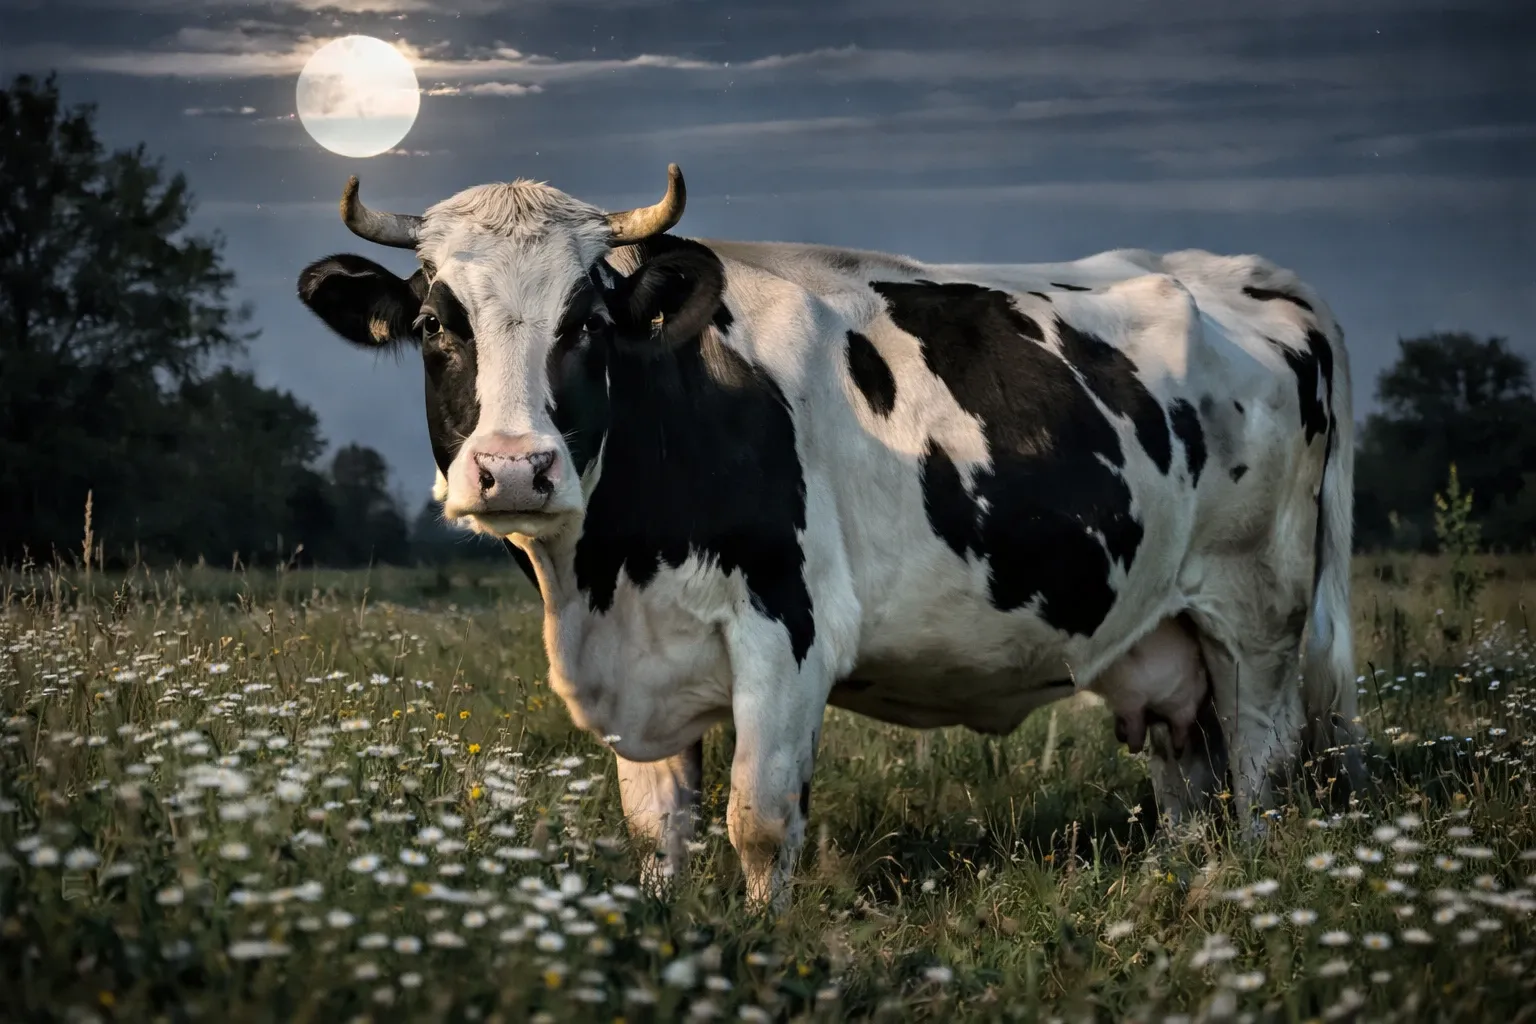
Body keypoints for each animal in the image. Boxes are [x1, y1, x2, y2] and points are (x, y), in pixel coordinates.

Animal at [296, 164, 1363, 910]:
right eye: (437, 325)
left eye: (587, 322)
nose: (515, 468)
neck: (603, 582)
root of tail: (1250, 275)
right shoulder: (641, 666)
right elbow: (658, 832)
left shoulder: (787, 629)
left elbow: (759, 822)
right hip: (1161, 639)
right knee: (1191, 788)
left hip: (1257, 612)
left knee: (1266, 775)